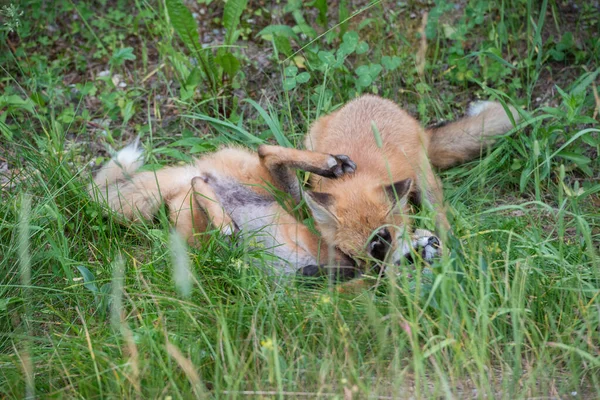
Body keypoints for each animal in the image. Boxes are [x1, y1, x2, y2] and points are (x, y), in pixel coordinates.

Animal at [91, 138, 442, 278]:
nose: (436, 243)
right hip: (283, 194)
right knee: (265, 152)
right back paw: (332, 164)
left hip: (202, 235)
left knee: (203, 181)